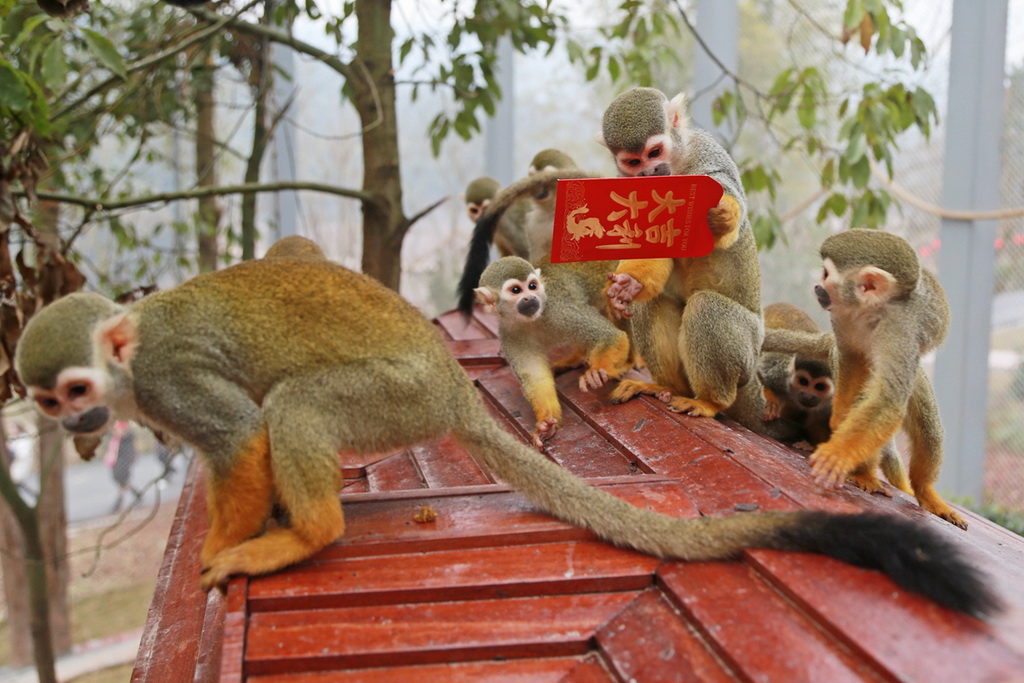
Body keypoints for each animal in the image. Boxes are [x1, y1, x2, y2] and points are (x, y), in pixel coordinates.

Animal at [473, 255, 630, 448]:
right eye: (516, 290)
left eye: (532, 286)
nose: (530, 297)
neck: (531, 320)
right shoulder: (509, 334)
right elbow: (537, 379)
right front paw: (545, 425)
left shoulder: (559, 310)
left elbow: (611, 336)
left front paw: (596, 373)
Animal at [598, 88, 770, 436]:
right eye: (634, 162)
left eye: (654, 152)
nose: (650, 172)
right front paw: (627, 284)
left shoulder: (707, 155)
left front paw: (723, 215)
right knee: (651, 302)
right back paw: (667, 387)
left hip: (747, 351)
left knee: (705, 307)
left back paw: (710, 401)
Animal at [765, 229, 962, 528]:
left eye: (826, 274)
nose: (817, 286)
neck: (872, 311)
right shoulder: (842, 316)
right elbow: (851, 357)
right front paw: (839, 418)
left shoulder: (901, 329)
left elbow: (887, 400)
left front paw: (836, 454)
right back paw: (864, 472)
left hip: (916, 374)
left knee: (927, 428)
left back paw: (923, 490)